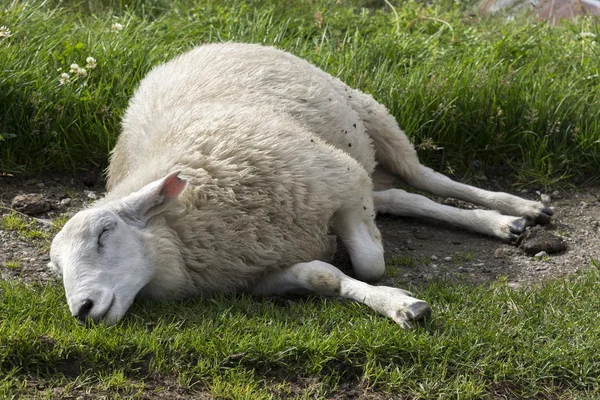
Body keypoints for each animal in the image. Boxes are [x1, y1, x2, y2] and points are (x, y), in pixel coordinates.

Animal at [48, 43, 552, 328]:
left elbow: (369, 262)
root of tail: (200, 45)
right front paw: (398, 305)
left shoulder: (343, 182)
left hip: (370, 117)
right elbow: (324, 276)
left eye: (105, 234)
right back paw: (504, 223)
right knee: (397, 195)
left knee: (424, 178)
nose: (82, 311)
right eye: (56, 269)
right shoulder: (256, 274)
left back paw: (515, 212)